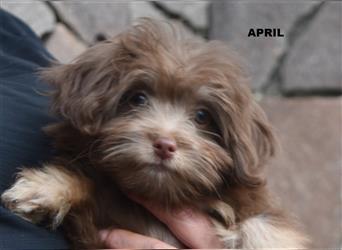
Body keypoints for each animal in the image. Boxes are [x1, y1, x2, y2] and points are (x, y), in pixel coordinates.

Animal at [0, 19, 310, 248]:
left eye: (202, 116)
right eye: (137, 98)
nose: (164, 145)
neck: (163, 196)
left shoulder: (254, 203)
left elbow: (264, 224)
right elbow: (85, 179)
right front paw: (44, 189)